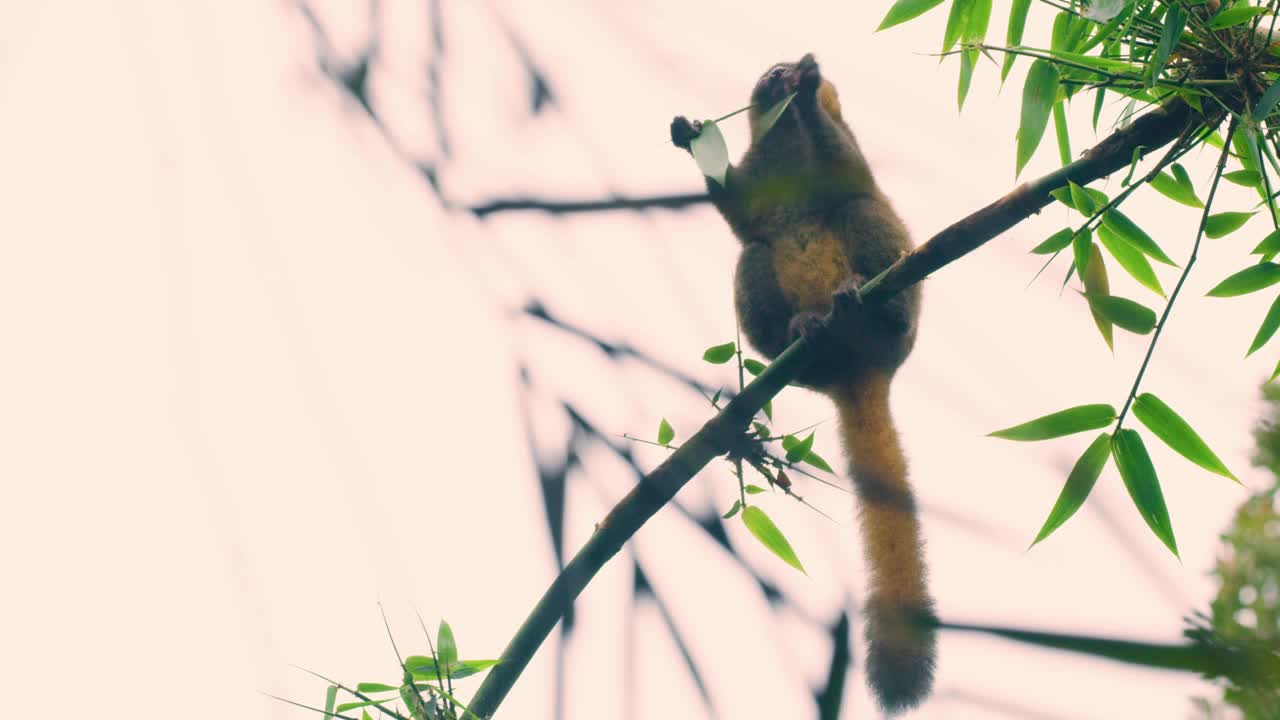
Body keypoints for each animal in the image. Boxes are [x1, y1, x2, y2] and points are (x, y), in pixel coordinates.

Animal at [670, 53, 942, 707]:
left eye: (783, 67)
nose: (781, 76)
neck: (788, 149)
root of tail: (861, 369)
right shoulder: (756, 174)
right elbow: (743, 217)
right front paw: (688, 135)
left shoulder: (842, 147)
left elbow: (851, 177)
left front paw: (811, 86)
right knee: (753, 252)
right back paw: (799, 332)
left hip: (901, 310)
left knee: (862, 208)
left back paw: (874, 307)